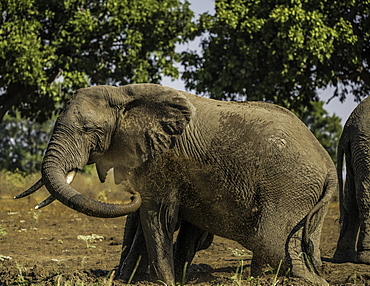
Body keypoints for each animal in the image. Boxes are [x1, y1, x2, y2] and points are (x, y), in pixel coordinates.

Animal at [18, 84, 338, 284]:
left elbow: (156, 216)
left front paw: (164, 282)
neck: (123, 94)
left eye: (88, 130)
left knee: (270, 241)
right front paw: (128, 280)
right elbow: (147, 224)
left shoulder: (162, 160)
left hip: (290, 188)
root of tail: (329, 164)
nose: (130, 194)